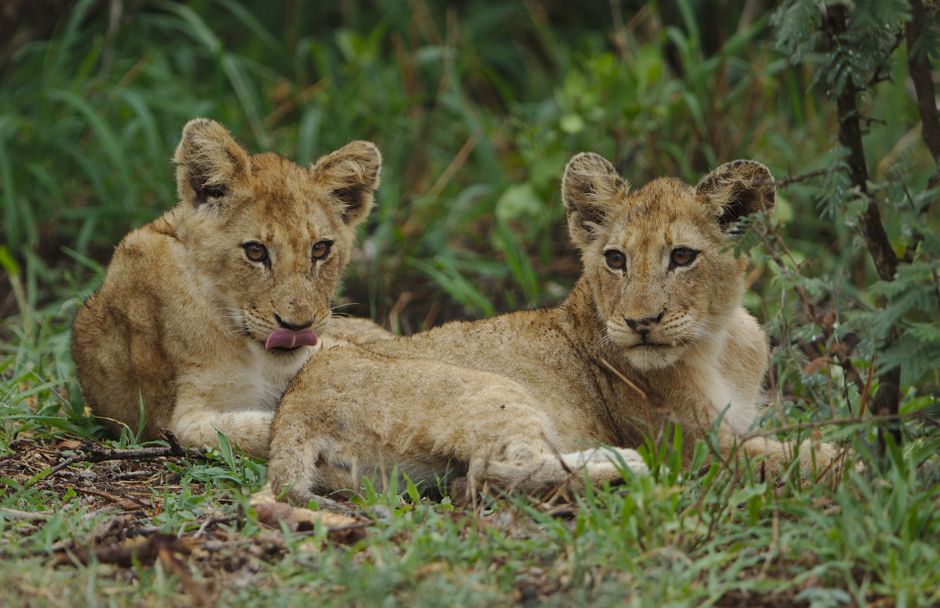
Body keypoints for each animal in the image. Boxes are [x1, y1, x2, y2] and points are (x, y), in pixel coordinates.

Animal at [267, 153, 844, 502]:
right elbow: (804, 456)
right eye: (615, 259)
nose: (641, 323)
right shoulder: (698, 445)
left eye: (682, 256)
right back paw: (627, 464)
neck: (718, 342)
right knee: (492, 474)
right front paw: (855, 461)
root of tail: (293, 410)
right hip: (491, 389)